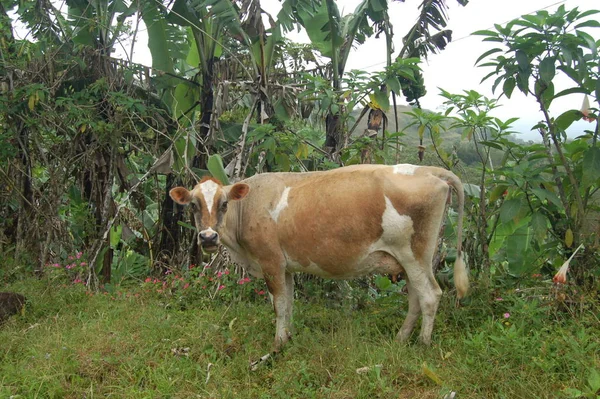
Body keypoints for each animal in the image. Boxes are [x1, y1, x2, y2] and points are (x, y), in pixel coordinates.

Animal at [169, 166, 468, 356]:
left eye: (224, 204)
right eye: (193, 205)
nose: (208, 237)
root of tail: (428, 170)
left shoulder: (271, 262)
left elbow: (278, 305)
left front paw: (277, 345)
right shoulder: (285, 267)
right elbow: (288, 303)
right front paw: (288, 338)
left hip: (415, 255)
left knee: (429, 295)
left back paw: (423, 344)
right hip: (409, 261)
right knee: (416, 297)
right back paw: (401, 338)